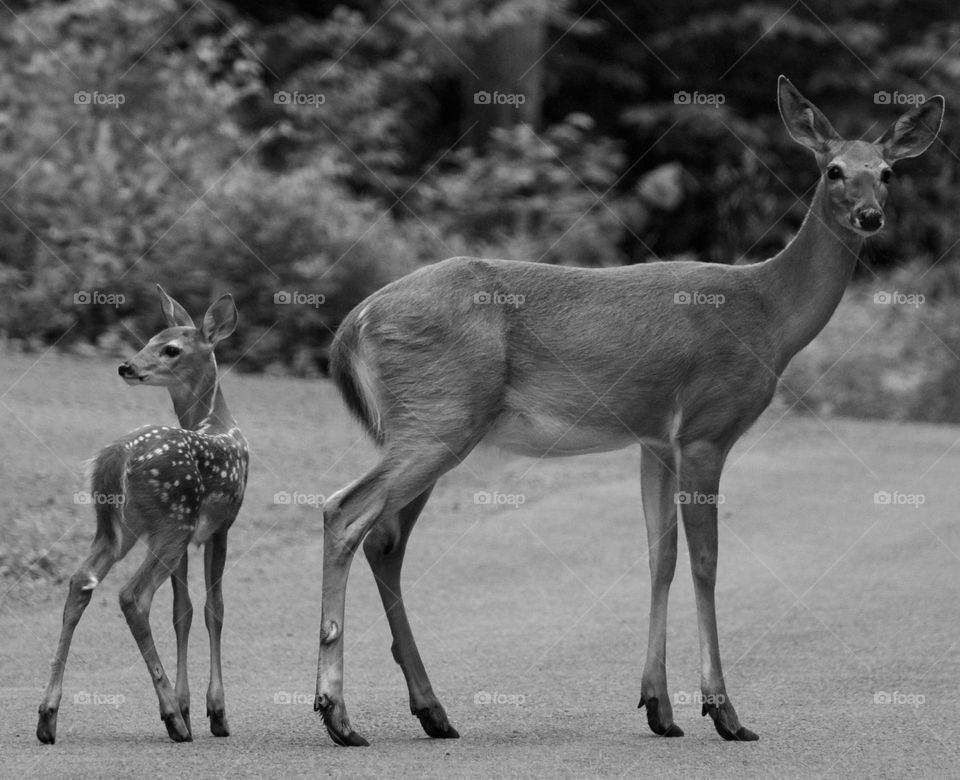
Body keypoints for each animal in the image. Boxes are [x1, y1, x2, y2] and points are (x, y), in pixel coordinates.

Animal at [36, 284, 249, 744]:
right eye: (149, 340)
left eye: (169, 347)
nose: (126, 366)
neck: (217, 422)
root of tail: (117, 455)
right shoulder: (220, 526)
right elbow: (214, 609)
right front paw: (214, 712)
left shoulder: (192, 536)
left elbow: (183, 611)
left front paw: (191, 705)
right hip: (171, 519)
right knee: (132, 595)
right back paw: (171, 719)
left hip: (124, 528)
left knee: (80, 581)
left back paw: (47, 716)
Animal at [316, 77, 944, 744]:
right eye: (833, 170)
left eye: (887, 173)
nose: (870, 216)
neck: (771, 316)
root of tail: (354, 323)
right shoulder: (706, 428)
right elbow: (705, 561)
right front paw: (723, 711)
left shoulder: (654, 439)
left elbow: (659, 559)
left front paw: (660, 707)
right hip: (440, 417)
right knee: (344, 512)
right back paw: (338, 714)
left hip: (426, 423)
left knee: (386, 544)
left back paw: (431, 710)